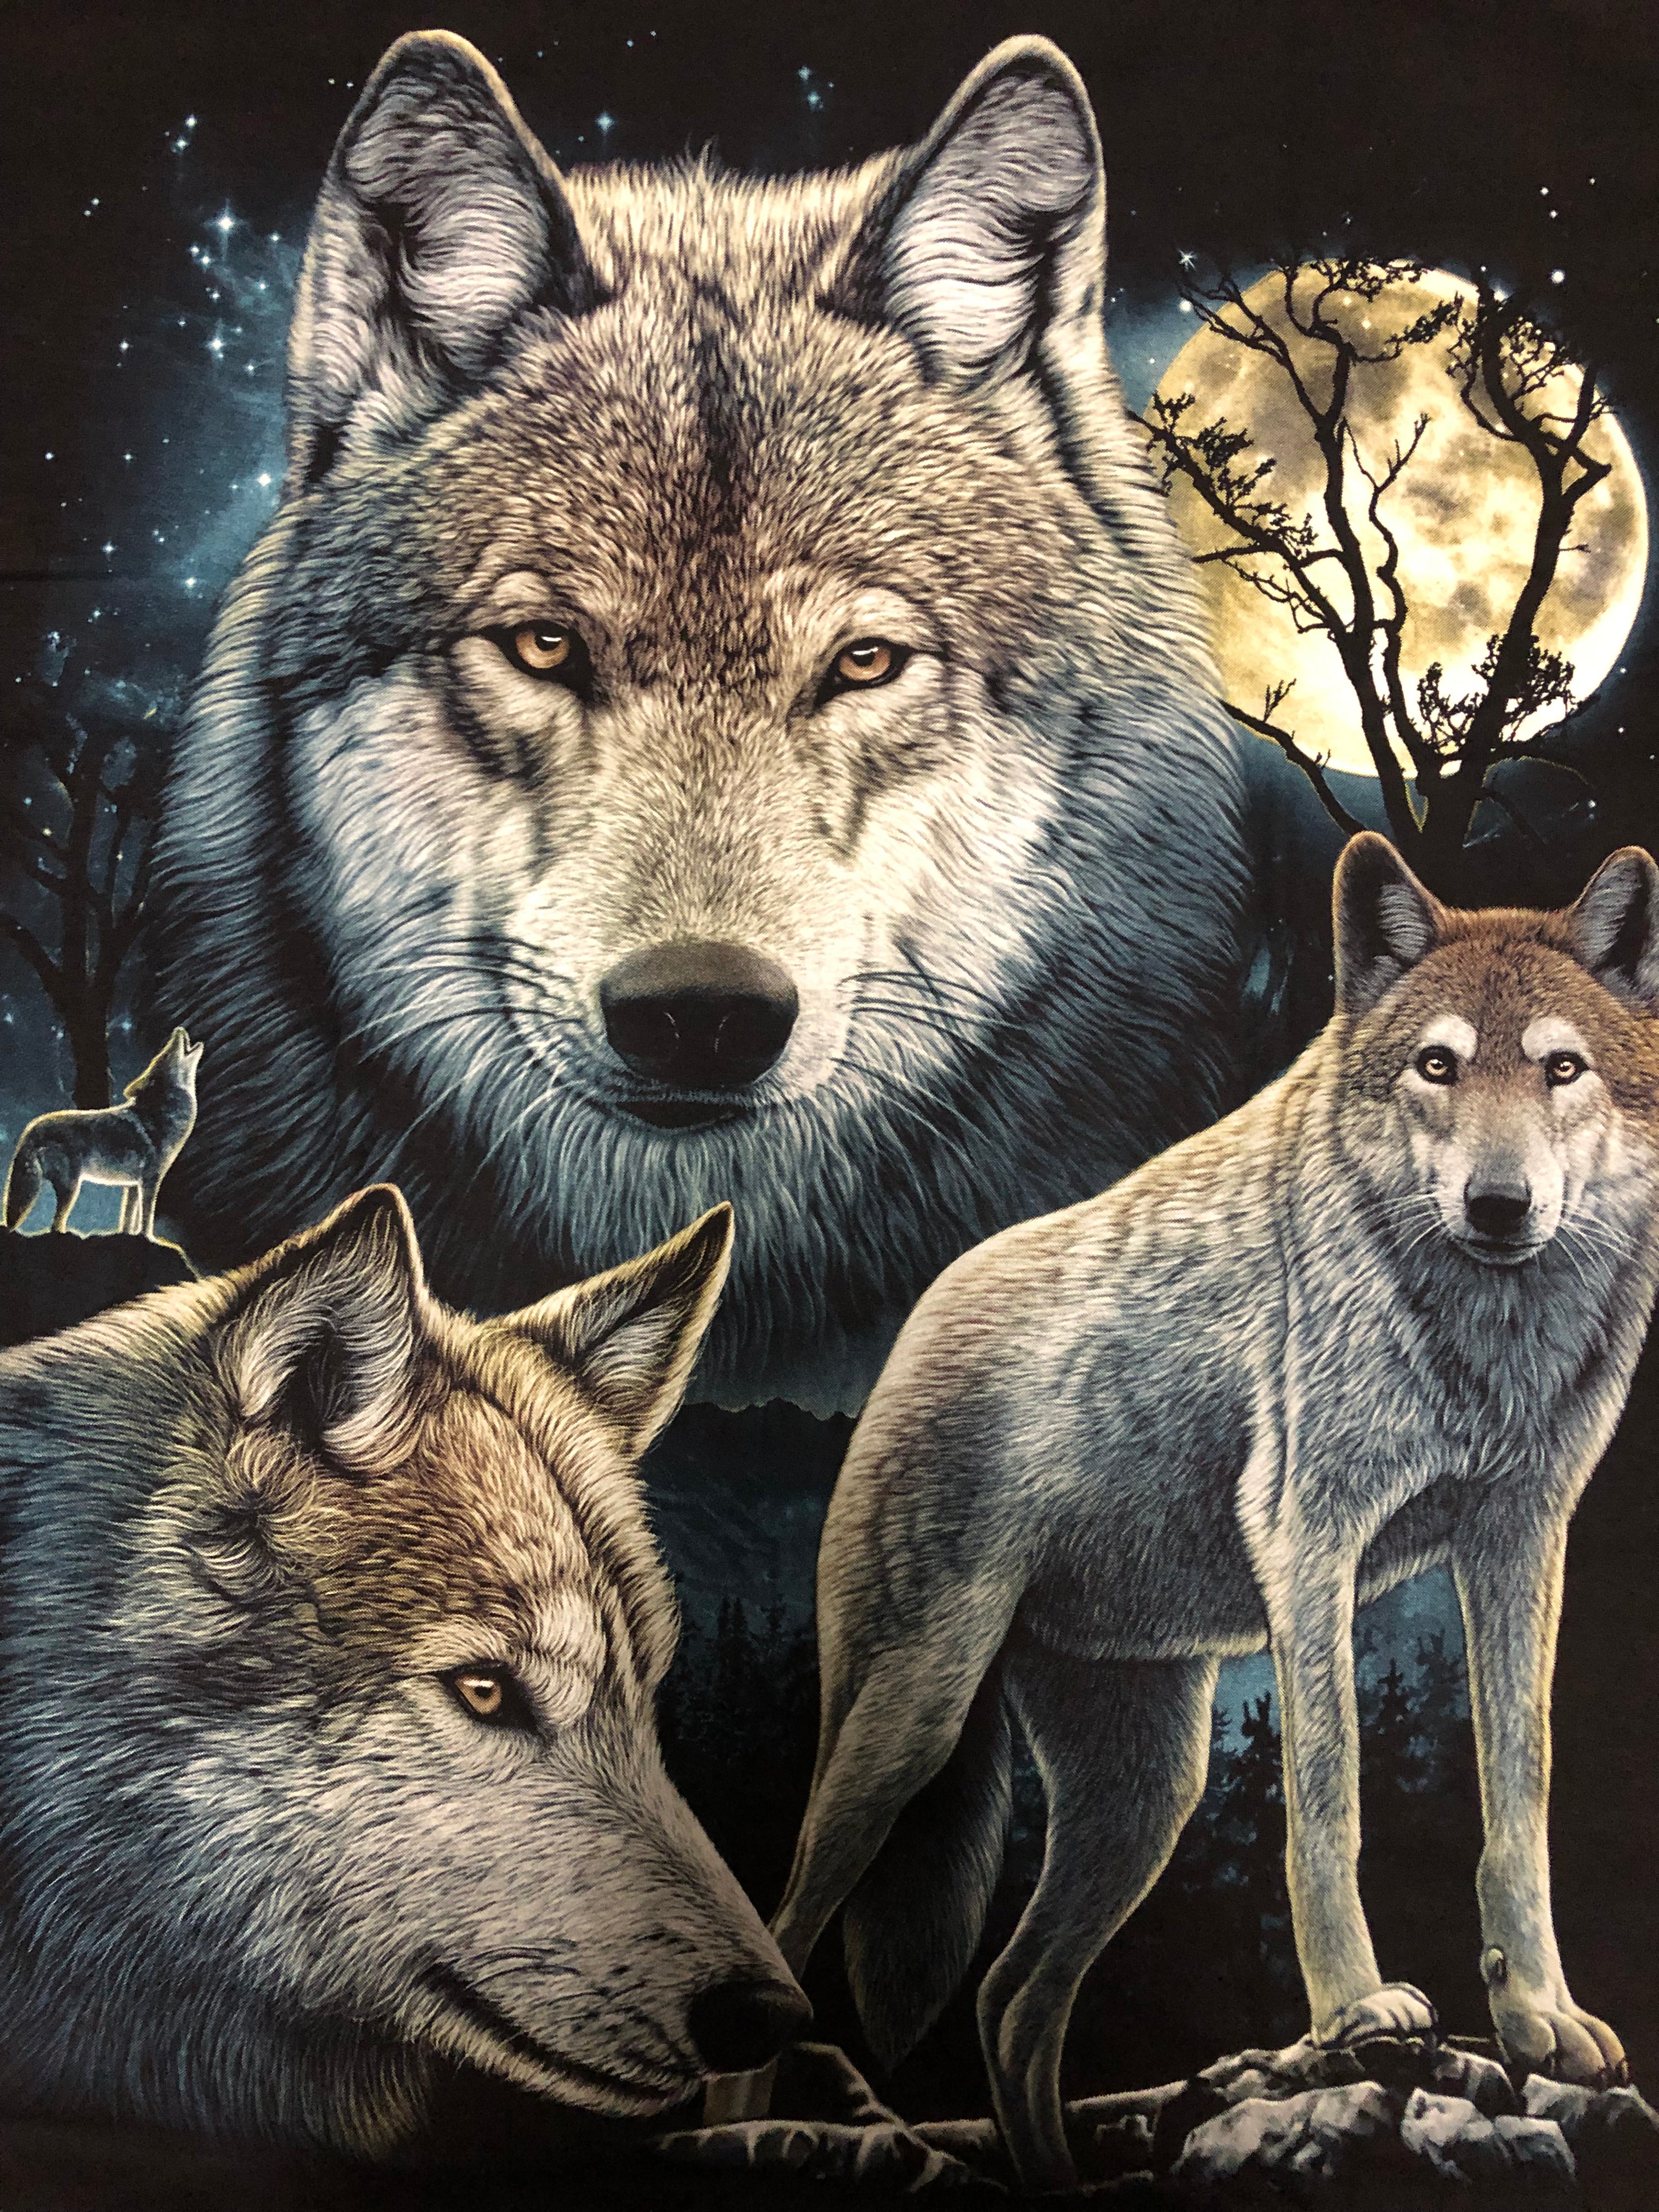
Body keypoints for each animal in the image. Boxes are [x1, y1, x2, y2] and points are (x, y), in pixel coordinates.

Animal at [2, 1025, 201, 1237]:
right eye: (167, 1053)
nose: (179, 1030)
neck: (162, 1114)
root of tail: (31, 1129)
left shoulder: (132, 1185)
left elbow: (128, 1219)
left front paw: (126, 1235)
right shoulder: (150, 1181)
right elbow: (147, 1220)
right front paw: (149, 1238)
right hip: (72, 1187)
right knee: (55, 1224)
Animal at [737, 833, 1659, 2192]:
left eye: (1563, 1069)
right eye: (1437, 1066)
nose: (1500, 1206)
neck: (1480, 1341)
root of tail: (914, 1324)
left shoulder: (1522, 1544)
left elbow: (1518, 1799)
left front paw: (1540, 2018)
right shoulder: (1312, 1546)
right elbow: (1329, 1799)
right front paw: (1356, 2013)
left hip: (1146, 1794)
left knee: (1010, 2000)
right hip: (908, 1728)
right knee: (788, 1930)